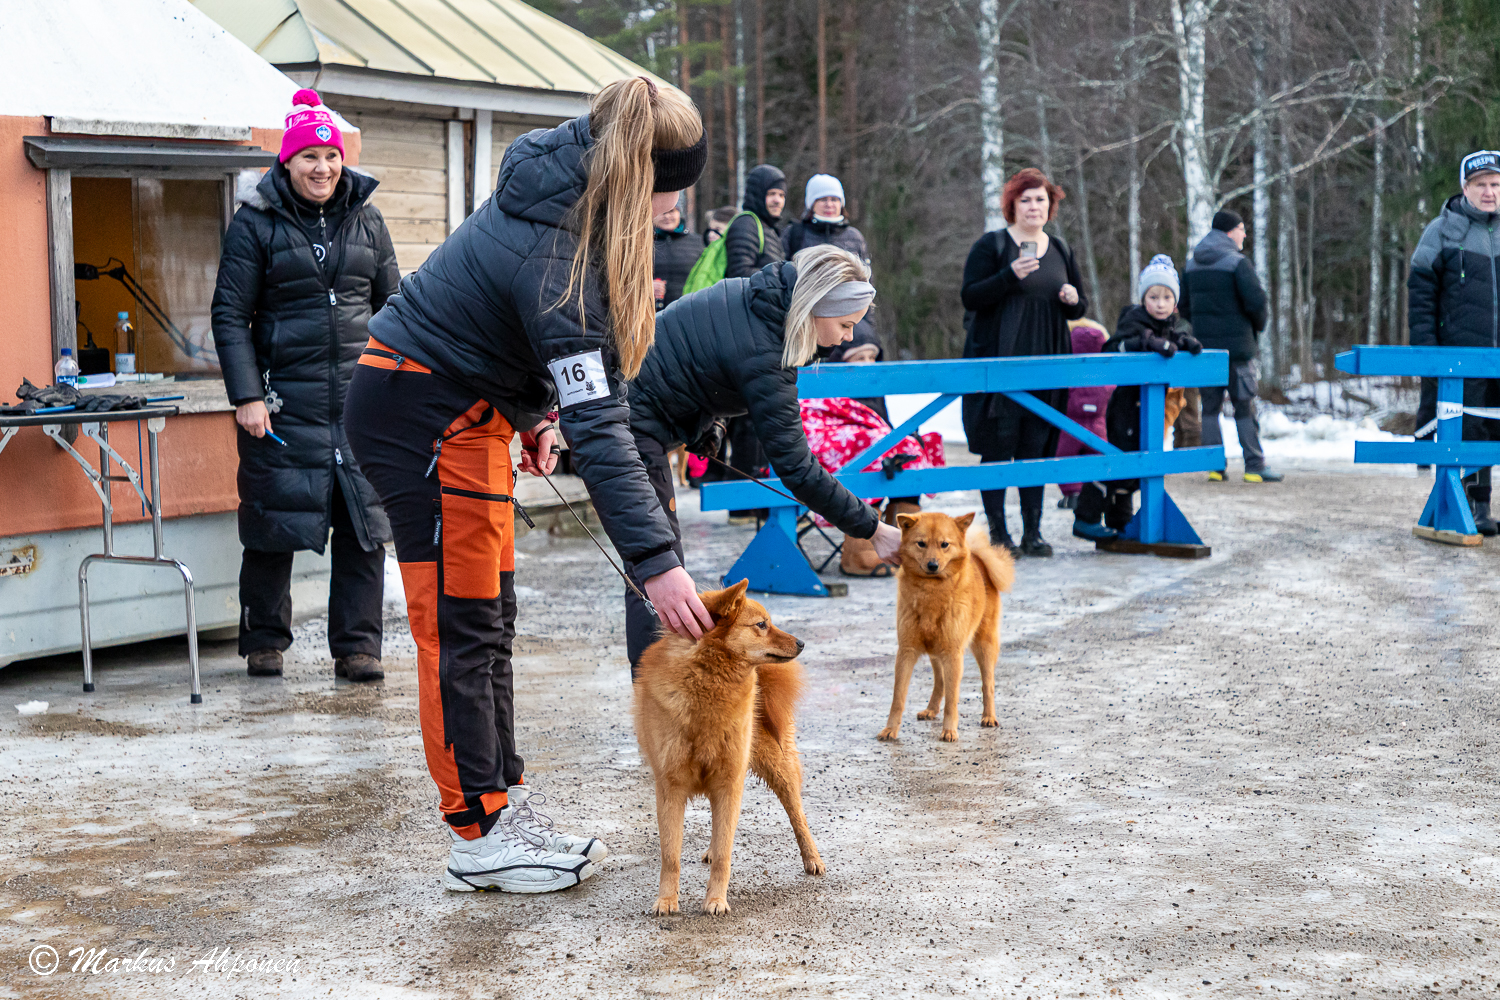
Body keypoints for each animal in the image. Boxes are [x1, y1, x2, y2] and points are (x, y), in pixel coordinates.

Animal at [630, 578, 828, 917]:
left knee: (797, 815)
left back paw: (812, 858)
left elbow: (725, 852)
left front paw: (716, 901)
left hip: (778, 767)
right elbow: (671, 855)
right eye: (761, 624)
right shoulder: (670, 787)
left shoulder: (729, 781)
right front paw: (667, 900)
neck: (709, 681)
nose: (801, 643)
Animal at [876, 515, 1020, 743]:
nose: (932, 565)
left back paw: (989, 716)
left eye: (945, 544)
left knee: (987, 684)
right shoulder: (907, 651)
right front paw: (890, 729)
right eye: (921, 543)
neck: (931, 591)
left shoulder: (953, 653)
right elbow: (898, 697)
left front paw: (950, 730)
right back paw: (931, 709)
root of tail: (978, 559)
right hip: (936, 652)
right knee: (940, 681)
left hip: (983, 646)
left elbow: (952, 700)